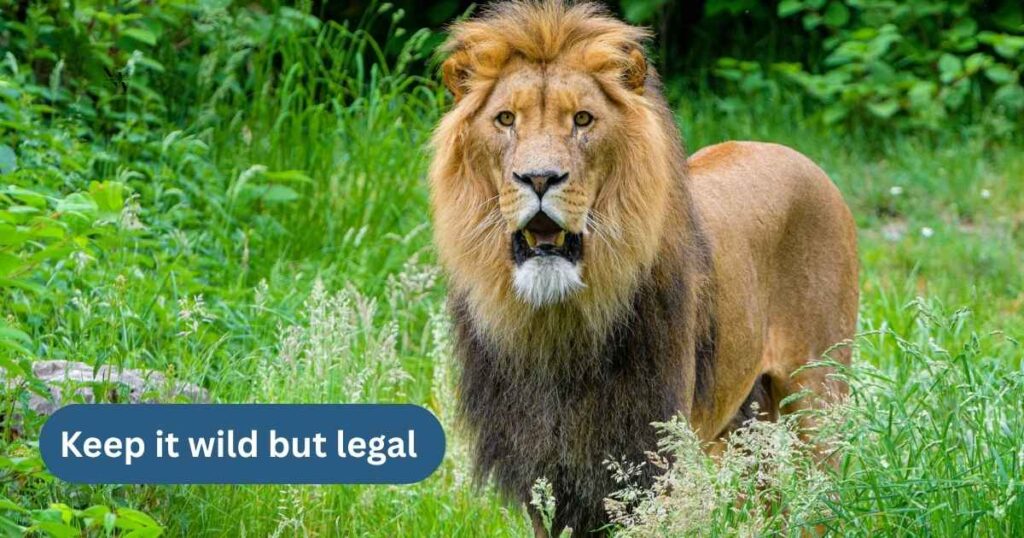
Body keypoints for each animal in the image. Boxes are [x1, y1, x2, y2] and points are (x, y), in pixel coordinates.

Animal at [428, 2, 859, 535]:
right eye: (505, 119)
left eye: (583, 119)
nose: (539, 178)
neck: (557, 328)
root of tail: (793, 153)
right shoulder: (541, 473)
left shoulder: (649, 461)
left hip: (818, 398)